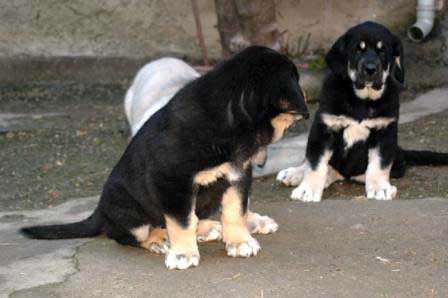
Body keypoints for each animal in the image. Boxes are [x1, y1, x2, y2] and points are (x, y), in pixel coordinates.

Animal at [276, 21, 448, 203]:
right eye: (358, 50)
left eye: (382, 51)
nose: (370, 69)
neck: (362, 100)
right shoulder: (324, 128)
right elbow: (316, 162)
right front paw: (307, 189)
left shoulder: (384, 131)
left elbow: (378, 163)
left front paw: (379, 187)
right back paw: (295, 173)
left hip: (395, 159)